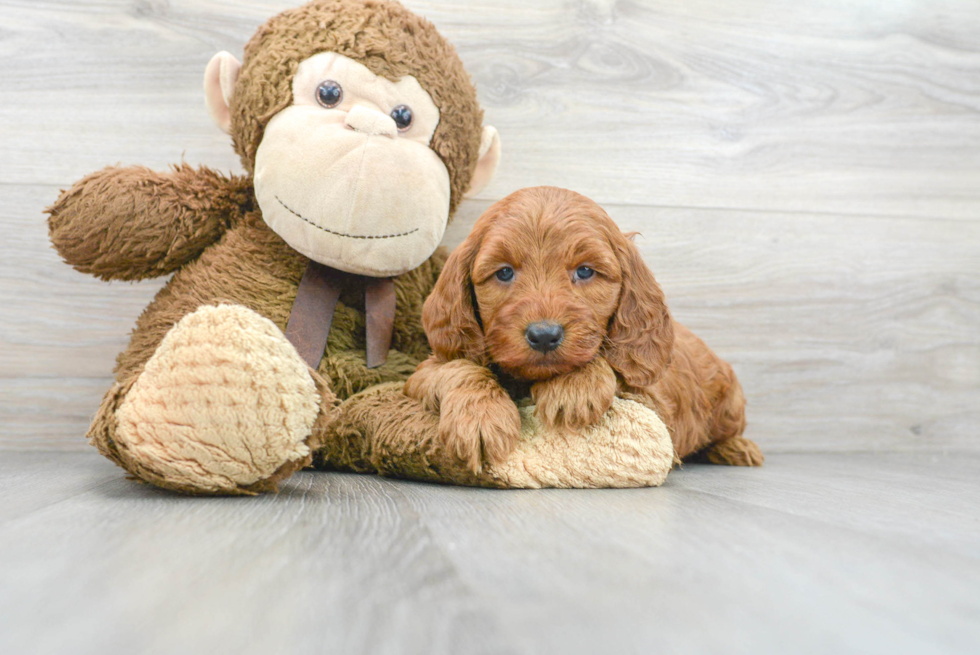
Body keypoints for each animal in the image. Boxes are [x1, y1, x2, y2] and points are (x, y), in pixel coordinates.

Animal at [402, 184, 760, 472]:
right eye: (503, 273)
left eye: (585, 271)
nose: (544, 335)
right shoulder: (424, 371)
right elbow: (458, 367)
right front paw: (480, 418)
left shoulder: (654, 408)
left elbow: (611, 368)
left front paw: (574, 386)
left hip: (730, 403)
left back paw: (738, 448)